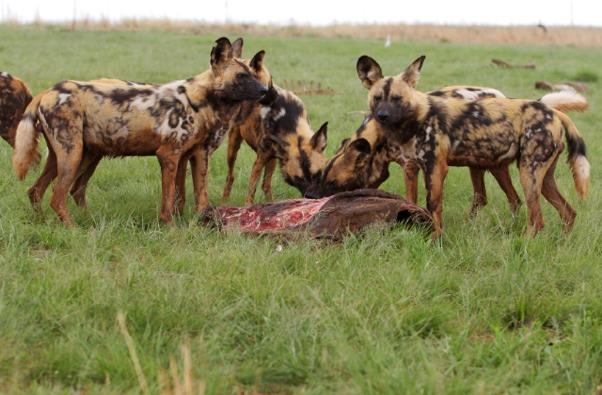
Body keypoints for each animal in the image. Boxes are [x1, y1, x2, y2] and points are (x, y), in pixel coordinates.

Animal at [12, 38, 268, 226]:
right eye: (241, 76)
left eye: (255, 74)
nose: (265, 91)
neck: (201, 101)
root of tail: (49, 91)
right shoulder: (169, 156)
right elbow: (169, 199)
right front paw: (170, 226)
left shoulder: (192, 156)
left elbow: (194, 196)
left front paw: (201, 222)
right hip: (72, 155)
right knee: (57, 197)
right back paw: (73, 229)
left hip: (73, 156)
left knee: (36, 191)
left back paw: (44, 222)